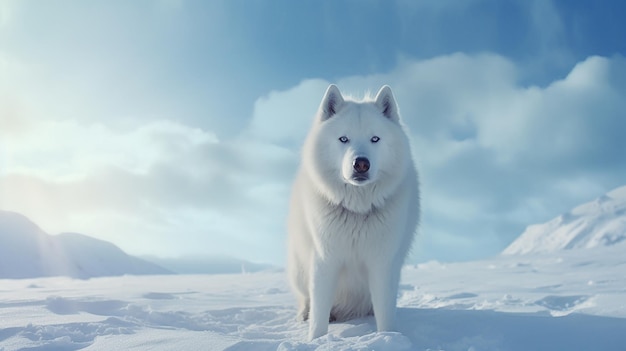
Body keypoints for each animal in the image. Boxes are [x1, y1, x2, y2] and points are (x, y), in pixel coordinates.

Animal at [288, 84, 420, 340]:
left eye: (375, 139)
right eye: (343, 139)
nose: (361, 163)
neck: (357, 211)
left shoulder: (382, 263)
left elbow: (385, 314)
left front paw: (388, 338)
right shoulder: (325, 259)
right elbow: (319, 313)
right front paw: (316, 340)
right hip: (299, 273)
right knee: (307, 300)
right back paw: (304, 315)